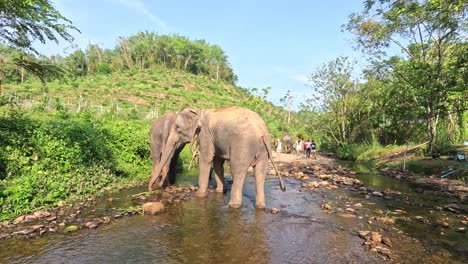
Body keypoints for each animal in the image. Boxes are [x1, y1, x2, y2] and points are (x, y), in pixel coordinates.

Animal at [148, 106, 286, 209]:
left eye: (177, 128)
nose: (152, 188)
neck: (199, 111)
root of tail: (262, 131)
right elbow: (217, 161)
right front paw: (219, 192)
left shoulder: (205, 134)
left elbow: (206, 158)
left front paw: (199, 195)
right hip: (264, 151)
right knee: (260, 173)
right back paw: (260, 206)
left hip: (242, 146)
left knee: (237, 171)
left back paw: (233, 206)